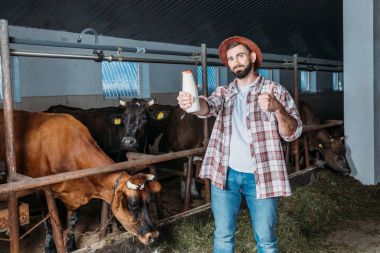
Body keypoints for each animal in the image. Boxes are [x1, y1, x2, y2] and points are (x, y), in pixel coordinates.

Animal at [0, 110, 160, 251]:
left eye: (149, 201)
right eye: (133, 205)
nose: (152, 235)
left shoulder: (74, 193)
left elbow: (72, 222)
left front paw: (71, 245)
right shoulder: (42, 190)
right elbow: (49, 222)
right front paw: (50, 247)